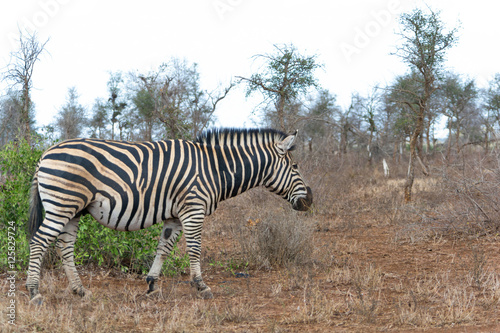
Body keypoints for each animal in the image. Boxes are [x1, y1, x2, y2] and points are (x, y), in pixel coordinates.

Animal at [26, 126, 312, 300]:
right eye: (295, 167)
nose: (310, 200)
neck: (216, 169)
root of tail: (45, 153)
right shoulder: (193, 209)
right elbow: (194, 249)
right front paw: (201, 286)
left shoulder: (175, 215)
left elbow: (164, 248)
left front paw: (152, 284)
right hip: (62, 205)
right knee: (39, 242)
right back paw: (34, 292)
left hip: (73, 211)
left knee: (65, 247)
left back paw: (79, 290)